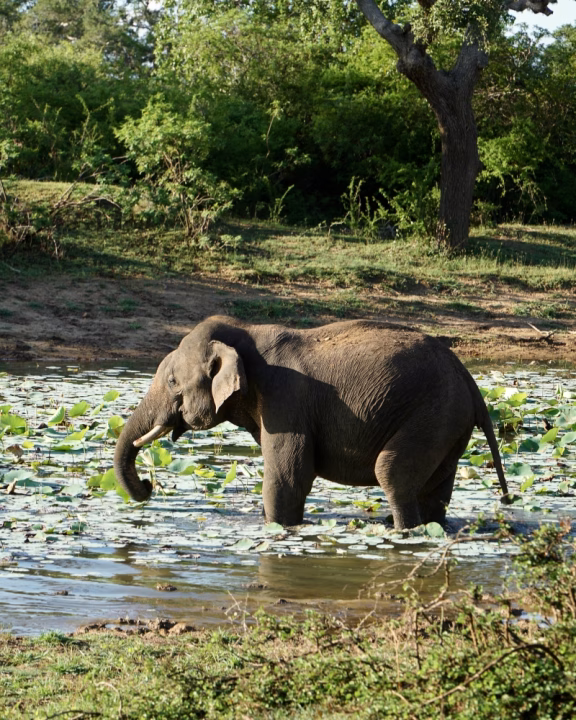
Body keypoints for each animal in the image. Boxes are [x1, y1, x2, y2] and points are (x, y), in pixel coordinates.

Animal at [114, 315, 509, 530]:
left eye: (172, 382)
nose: (149, 485)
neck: (247, 332)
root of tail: (469, 379)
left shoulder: (286, 399)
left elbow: (288, 476)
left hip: (433, 413)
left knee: (392, 473)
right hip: (449, 424)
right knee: (435, 490)